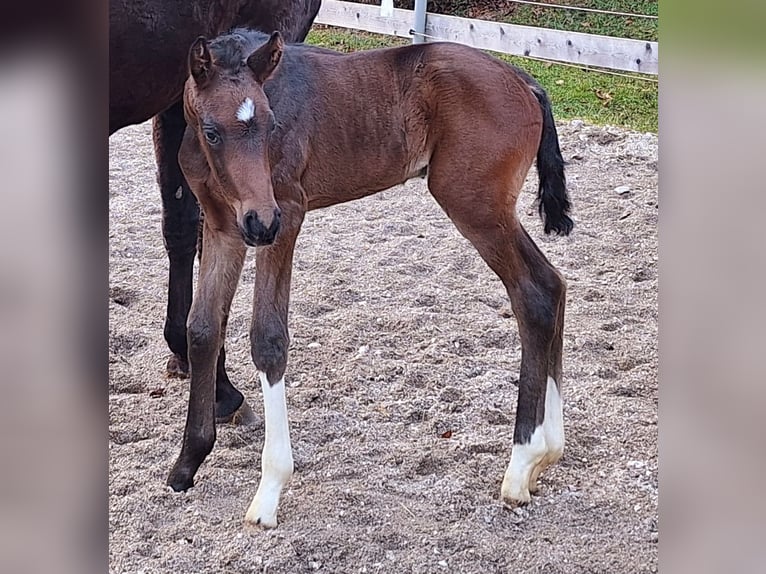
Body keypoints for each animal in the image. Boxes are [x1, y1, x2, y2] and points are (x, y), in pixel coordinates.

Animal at [170, 29, 574, 528]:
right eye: (212, 131)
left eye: (270, 125)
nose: (262, 223)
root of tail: (525, 80)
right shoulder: (224, 225)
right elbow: (203, 329)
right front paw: (186, 464)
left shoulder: (287, 213)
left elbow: (268, 338)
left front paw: (269, 491)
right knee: (551, 286)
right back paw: (546, 456)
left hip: (475, 205)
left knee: (532, 295)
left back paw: (521, 466)